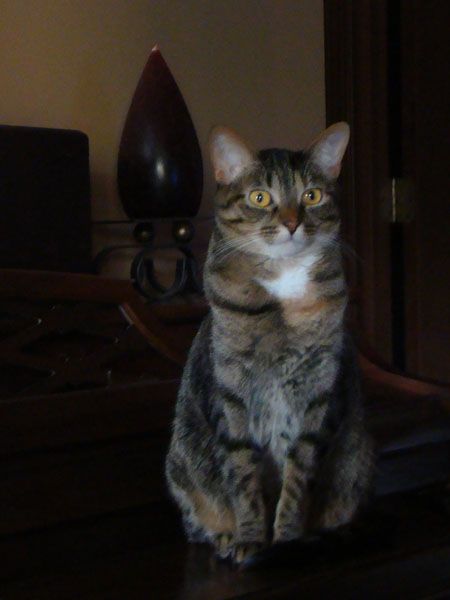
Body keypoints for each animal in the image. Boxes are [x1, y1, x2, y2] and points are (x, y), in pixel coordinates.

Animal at [165, 123, 372, 568]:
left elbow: (298, 476)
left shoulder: (317, 392)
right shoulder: (232, 395)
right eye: (260, 197)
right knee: (196, 522)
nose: (293, 223)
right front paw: (249, 537)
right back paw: (223, 537)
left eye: (311, 195)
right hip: (181, 465)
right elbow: (242, 475)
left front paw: (288, 537)